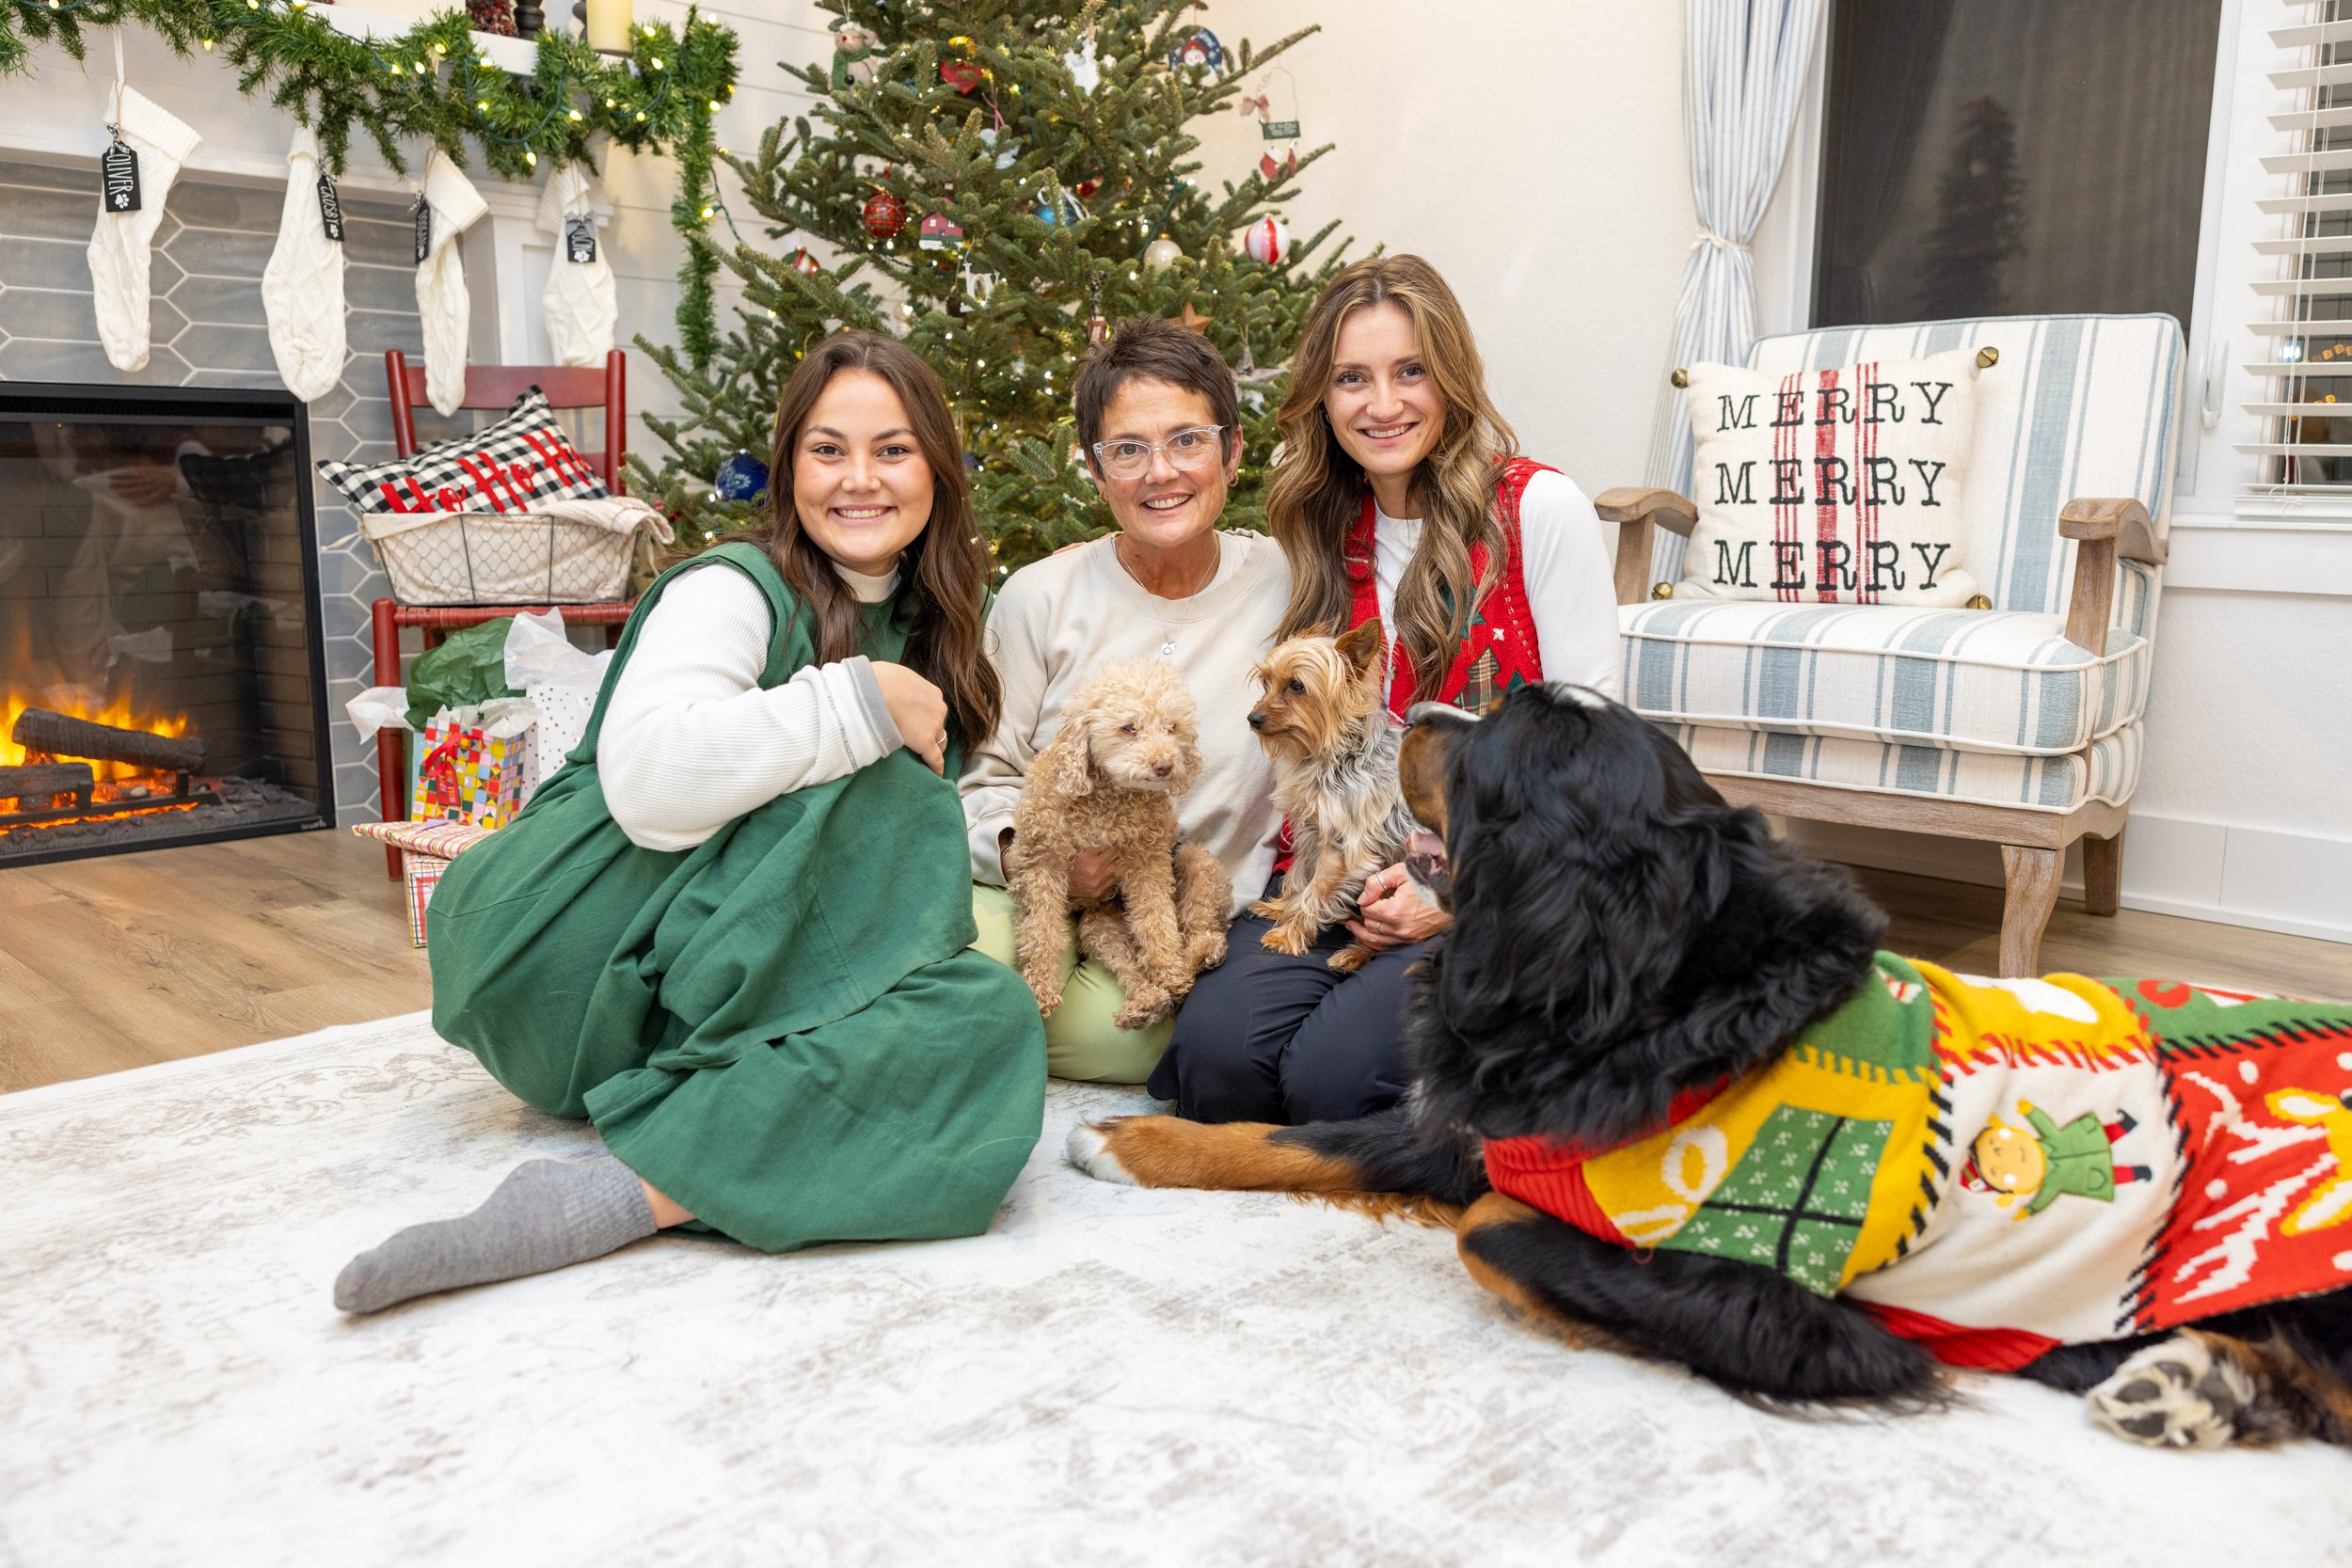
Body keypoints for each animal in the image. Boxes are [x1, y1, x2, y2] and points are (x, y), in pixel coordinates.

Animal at [1007, 658, 1231, 1031]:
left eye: (1172, 727)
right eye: (1129, 728)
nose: (1165, 765)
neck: (1107, 797)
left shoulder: (1146, 859)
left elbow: (1156, 919)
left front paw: (1169, 969)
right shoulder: (1042, 863)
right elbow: (1042, 931)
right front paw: (1039, 992)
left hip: (1194, 860)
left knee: (1195, 923)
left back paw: (1197, 957)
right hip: (1098, 926)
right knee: (1132, 965)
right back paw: (1146, 1003)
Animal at [1069, 684, 2352, 1449]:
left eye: (1496, 736)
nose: (1421, 702)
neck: (1649, 987)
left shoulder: (1766, 1288)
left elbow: (1490, 1229)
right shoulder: (1493, 1125)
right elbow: (1290, 1137)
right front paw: (1125, 1137)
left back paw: (2205, 1380)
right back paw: (2205, 1381)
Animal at [1246, 619, 1420, 973]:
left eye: (1296, 686)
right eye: (1265, 682)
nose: (1253, 719)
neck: (1332, 758)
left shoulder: (1342, 850)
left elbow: (1314, 892)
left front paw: (1287, 935)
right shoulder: (1311, 831)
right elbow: (1299, 877)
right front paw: (1281, 908)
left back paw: (1353, 954)